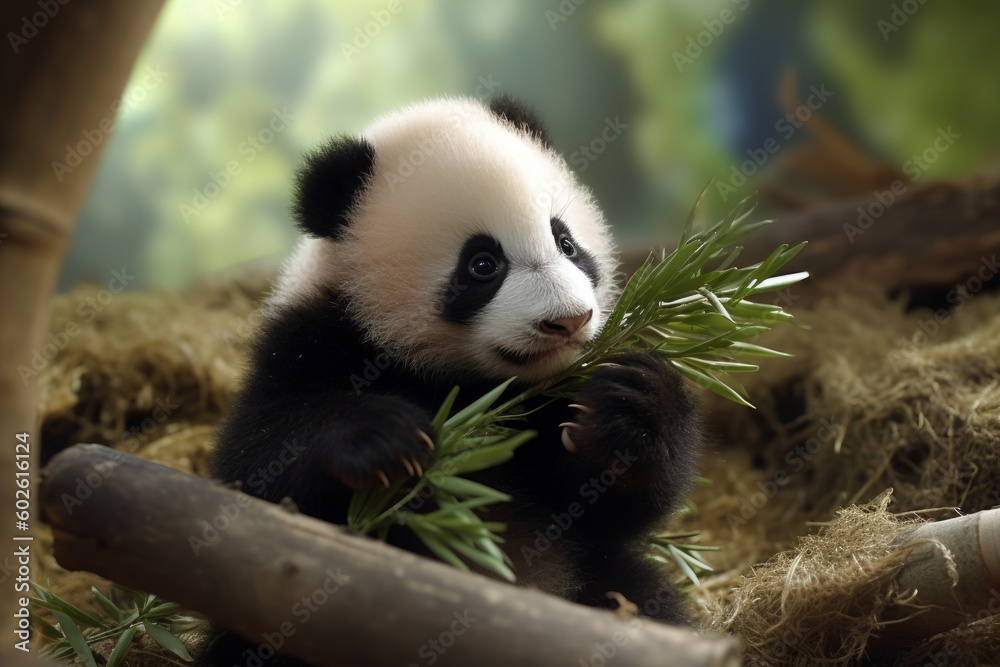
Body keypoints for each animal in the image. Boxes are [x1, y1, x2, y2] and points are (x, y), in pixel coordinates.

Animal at [201, 96, 702, 666]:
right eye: (482, 264)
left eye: (566, 242)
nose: (569, 321)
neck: (467, 381)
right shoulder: (311, 339)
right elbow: (256, 466)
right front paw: (384, 438)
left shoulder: (546, 406)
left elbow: (606, 509)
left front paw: (633, 405)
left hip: (591, 582)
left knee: (642, 599)